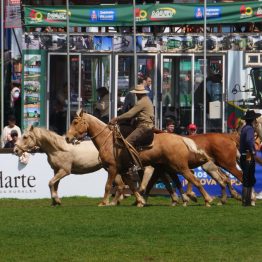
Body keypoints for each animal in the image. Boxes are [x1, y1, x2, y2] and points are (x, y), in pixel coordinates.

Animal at [65, 108, 215, 207]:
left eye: (76, 122)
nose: (67, 138)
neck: (108, 141)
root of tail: (179, 138)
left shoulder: (113, 169)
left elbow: (108, 186)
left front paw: (103, 202)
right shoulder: (124, 171)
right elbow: (131, 186)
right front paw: (140, 201)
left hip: (180, 166)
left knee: (194, 179)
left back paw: (206, 199)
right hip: (170, 167)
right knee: (178, 180)